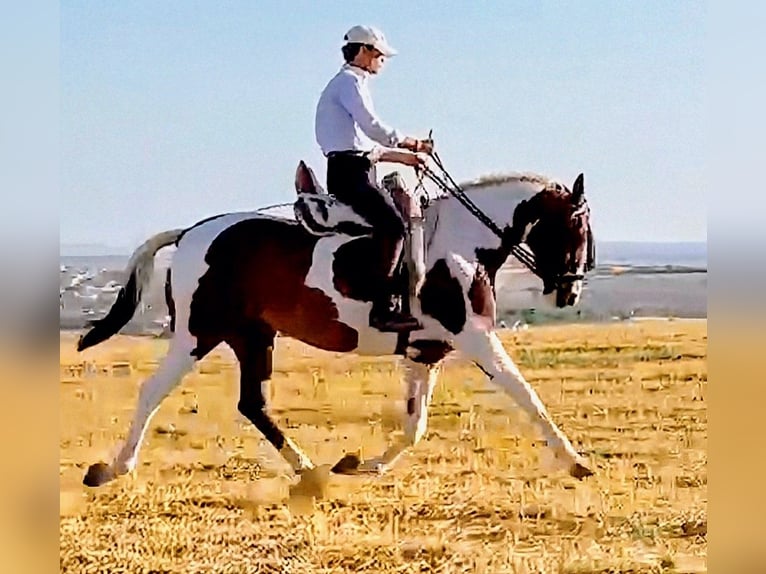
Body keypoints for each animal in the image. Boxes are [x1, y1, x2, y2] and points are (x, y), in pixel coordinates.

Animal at [77, 161, 596, 488]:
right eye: (578, 227)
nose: (569, 292)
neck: (462, 246)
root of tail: (190, 233)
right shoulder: (476, 338)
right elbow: (525, 394)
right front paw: (576, 462)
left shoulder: (425, 351)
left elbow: (415, 424)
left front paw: (362, 465)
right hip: (197, 334)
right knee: (154, 391)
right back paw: (112, 468)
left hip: (252, 337)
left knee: (253, 404)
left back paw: (308, 468)